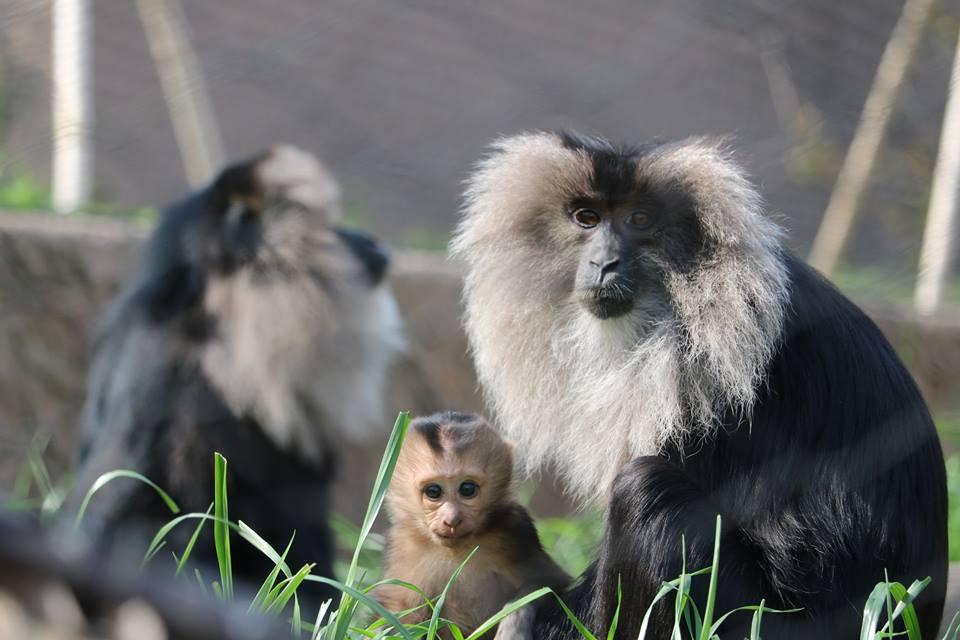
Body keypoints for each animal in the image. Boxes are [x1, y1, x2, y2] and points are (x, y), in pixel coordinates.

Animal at [376, 412, 568, 636]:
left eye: (467, 489)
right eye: (433, 492)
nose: (452, 519)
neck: (456, 550)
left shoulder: (515, 530)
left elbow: (550, 582)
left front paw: (513, 622)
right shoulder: (403, 545)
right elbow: (398, 613)